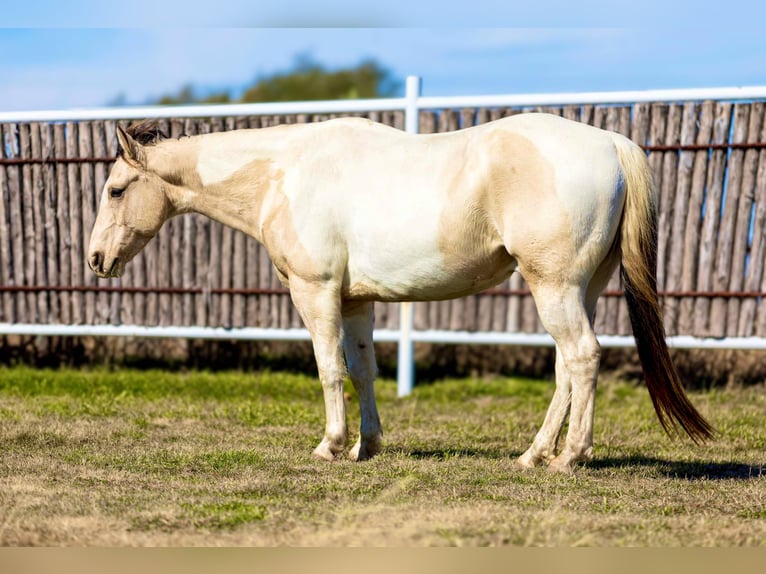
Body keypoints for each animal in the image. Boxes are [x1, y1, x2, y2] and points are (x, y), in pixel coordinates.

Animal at [87, 113, 716, 476]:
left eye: (116, 190)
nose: (95, 260)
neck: (283, 173)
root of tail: (611, 143)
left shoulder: (315, 294)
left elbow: (329, 369)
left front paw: (330, 445)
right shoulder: (355, 302)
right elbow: (363, 370)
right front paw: (366, 446)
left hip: (554, 287)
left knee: (581, 359)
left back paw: (568, 458)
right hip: (579, 290)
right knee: (568, 367)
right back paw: (535, 454)